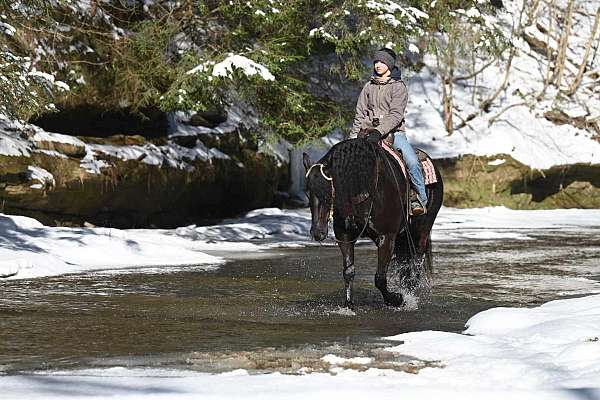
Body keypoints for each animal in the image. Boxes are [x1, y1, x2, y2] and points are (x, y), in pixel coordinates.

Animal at [302, 138, 442, 310]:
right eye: (307, 192)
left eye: (327, 193)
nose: (317, 232)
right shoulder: (345, 236)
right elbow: (348, 271)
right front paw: (348, 305)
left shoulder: (386, 237)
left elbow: (380, 278)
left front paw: (397, 299)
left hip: (422, 229)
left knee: (415, 263)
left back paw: (410, 297)